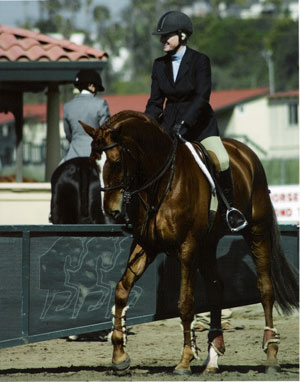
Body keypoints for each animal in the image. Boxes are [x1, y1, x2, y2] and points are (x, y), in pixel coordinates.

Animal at [79, 109, 298, 374]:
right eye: (93, 163)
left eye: (117, 162)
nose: (111, 212)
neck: (161, 182)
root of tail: (246, 153)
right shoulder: (146, 245)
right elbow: (121, 290)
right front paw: (120, 356)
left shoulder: (187, 247)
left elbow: (185, 303)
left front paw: (185, 359)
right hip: (208, 244)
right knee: (216, 288)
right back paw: (213, 356)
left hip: (257, 231)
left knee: (265, 288)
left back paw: (271, 354)